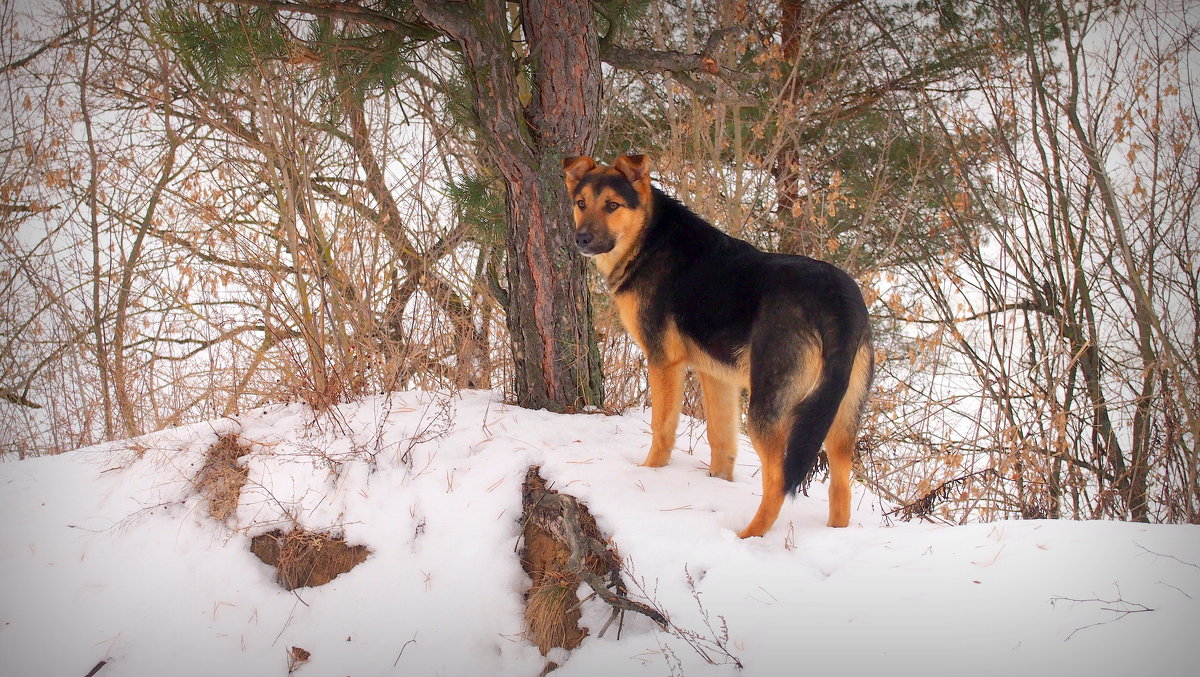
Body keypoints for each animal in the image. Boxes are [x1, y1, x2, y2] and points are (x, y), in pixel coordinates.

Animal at [561, 154, 873, 540]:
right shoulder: (717, 377)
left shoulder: (665, 363)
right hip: (841, 415)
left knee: (778, 482)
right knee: (841, 487)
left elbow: (662, 429)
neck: (648, 238)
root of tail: (837, 298)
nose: (582, 239)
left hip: (768, 410)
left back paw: (747, 536)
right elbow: (722, 441)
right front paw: (717, 483)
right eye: (581, 203)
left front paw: (649, 471)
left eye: (612, 205)